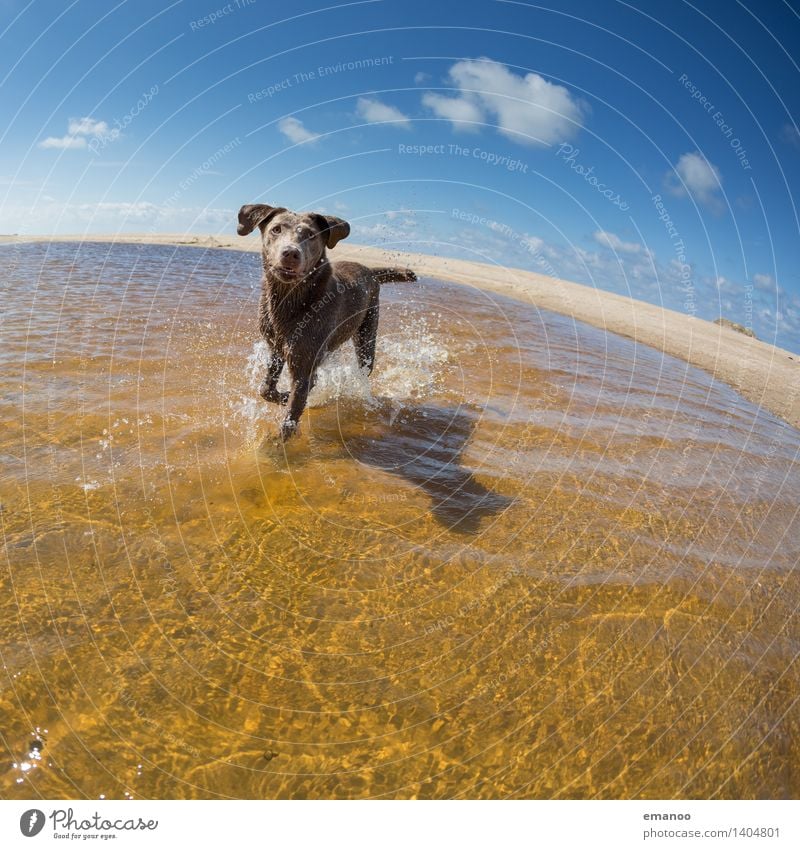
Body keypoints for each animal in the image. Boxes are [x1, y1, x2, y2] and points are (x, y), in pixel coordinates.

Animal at [239, 205, 418, 440]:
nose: (290, 253)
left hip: (367, 335)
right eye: (276, 229)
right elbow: (266, 389)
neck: (292, 300)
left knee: (364, 368)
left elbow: (291, 416)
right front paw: (283, 396)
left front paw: (276, 444)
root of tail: (369, 270)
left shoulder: (305, 361)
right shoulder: (276, 347)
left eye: (311, 235)